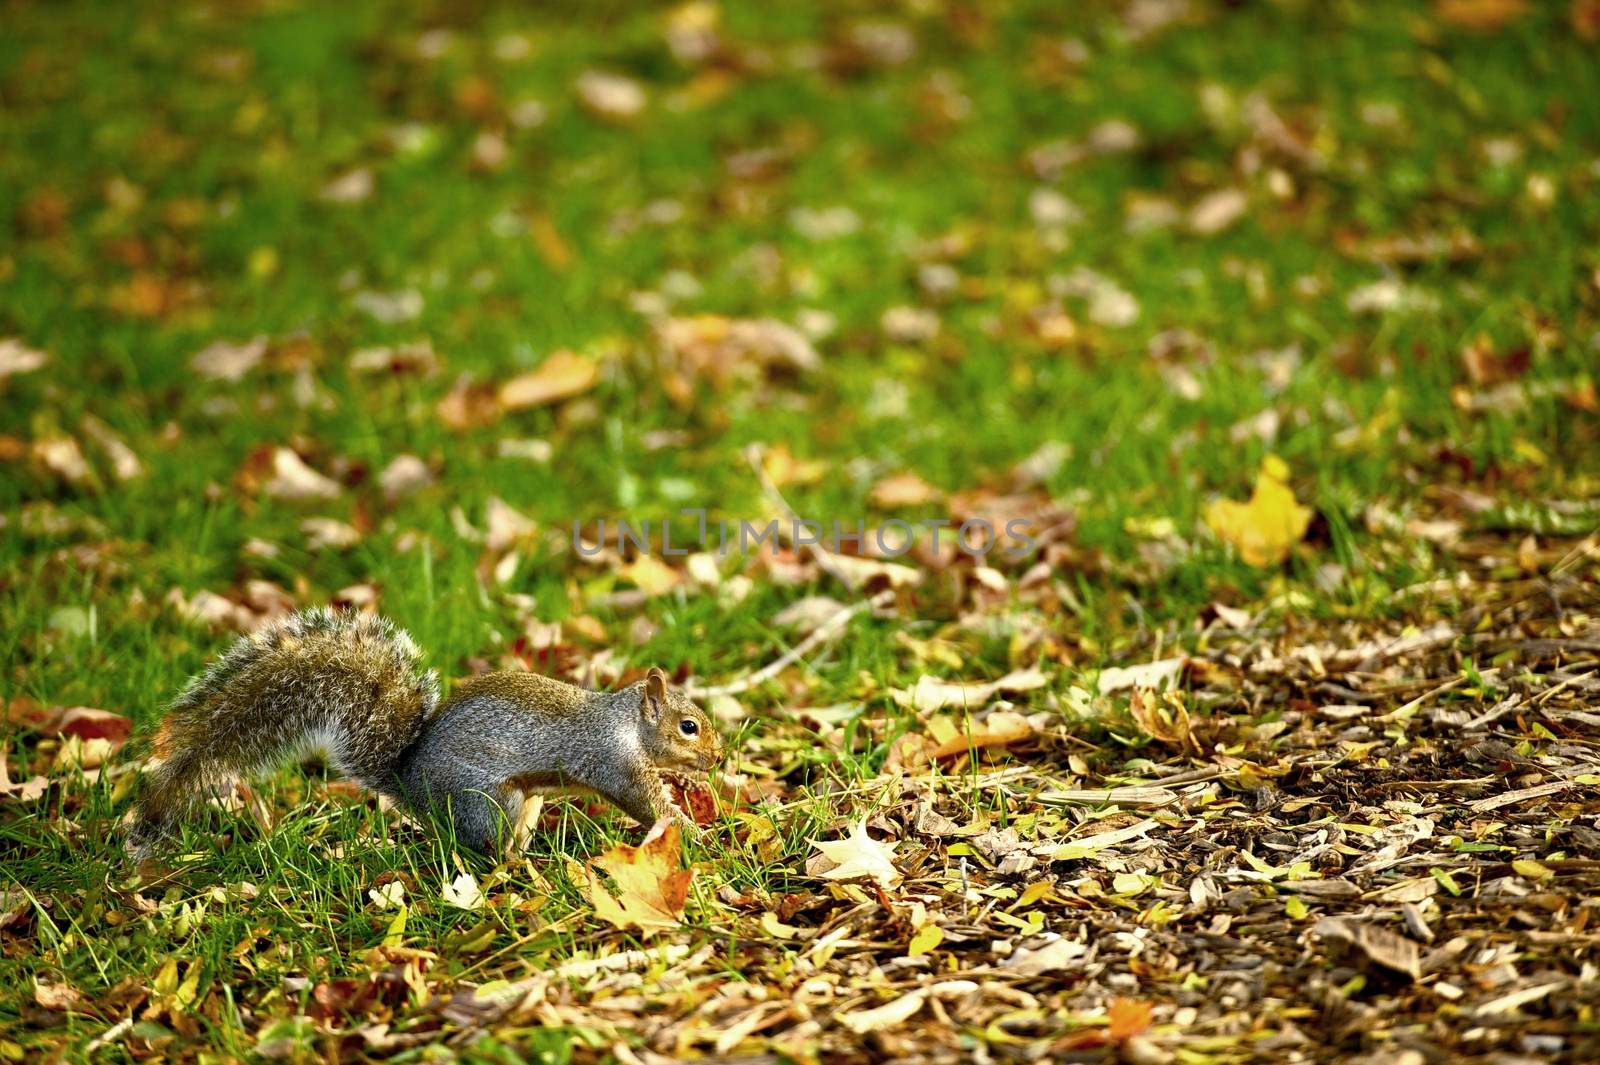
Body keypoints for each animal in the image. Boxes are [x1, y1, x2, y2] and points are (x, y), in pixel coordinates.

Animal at [128, 604, 723, 857]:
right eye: (689, 726)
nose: (717, 759)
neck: (624, 722)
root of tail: (408, 780)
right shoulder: (612, 762)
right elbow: (644, 803)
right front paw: (691, 830)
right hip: (485, 800)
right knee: (483, 845)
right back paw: (520, 865)